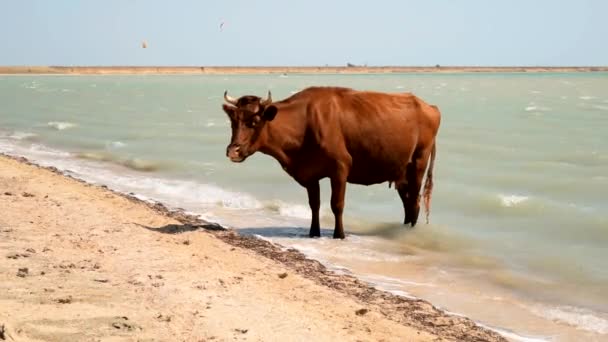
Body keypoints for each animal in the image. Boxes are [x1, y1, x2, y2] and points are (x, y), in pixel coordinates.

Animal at [221, 87, 440, 239]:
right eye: (233, 121)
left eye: (254, 122)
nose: (233, 151)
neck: (305, 123)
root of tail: (429, 106)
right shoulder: (309, 173)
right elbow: (315, 204)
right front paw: (314, 233)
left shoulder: (340, 167)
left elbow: (337, 204)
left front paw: (339, 235)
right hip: (401, 171)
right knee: (407, 202)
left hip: (418, 163)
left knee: (414, 202)